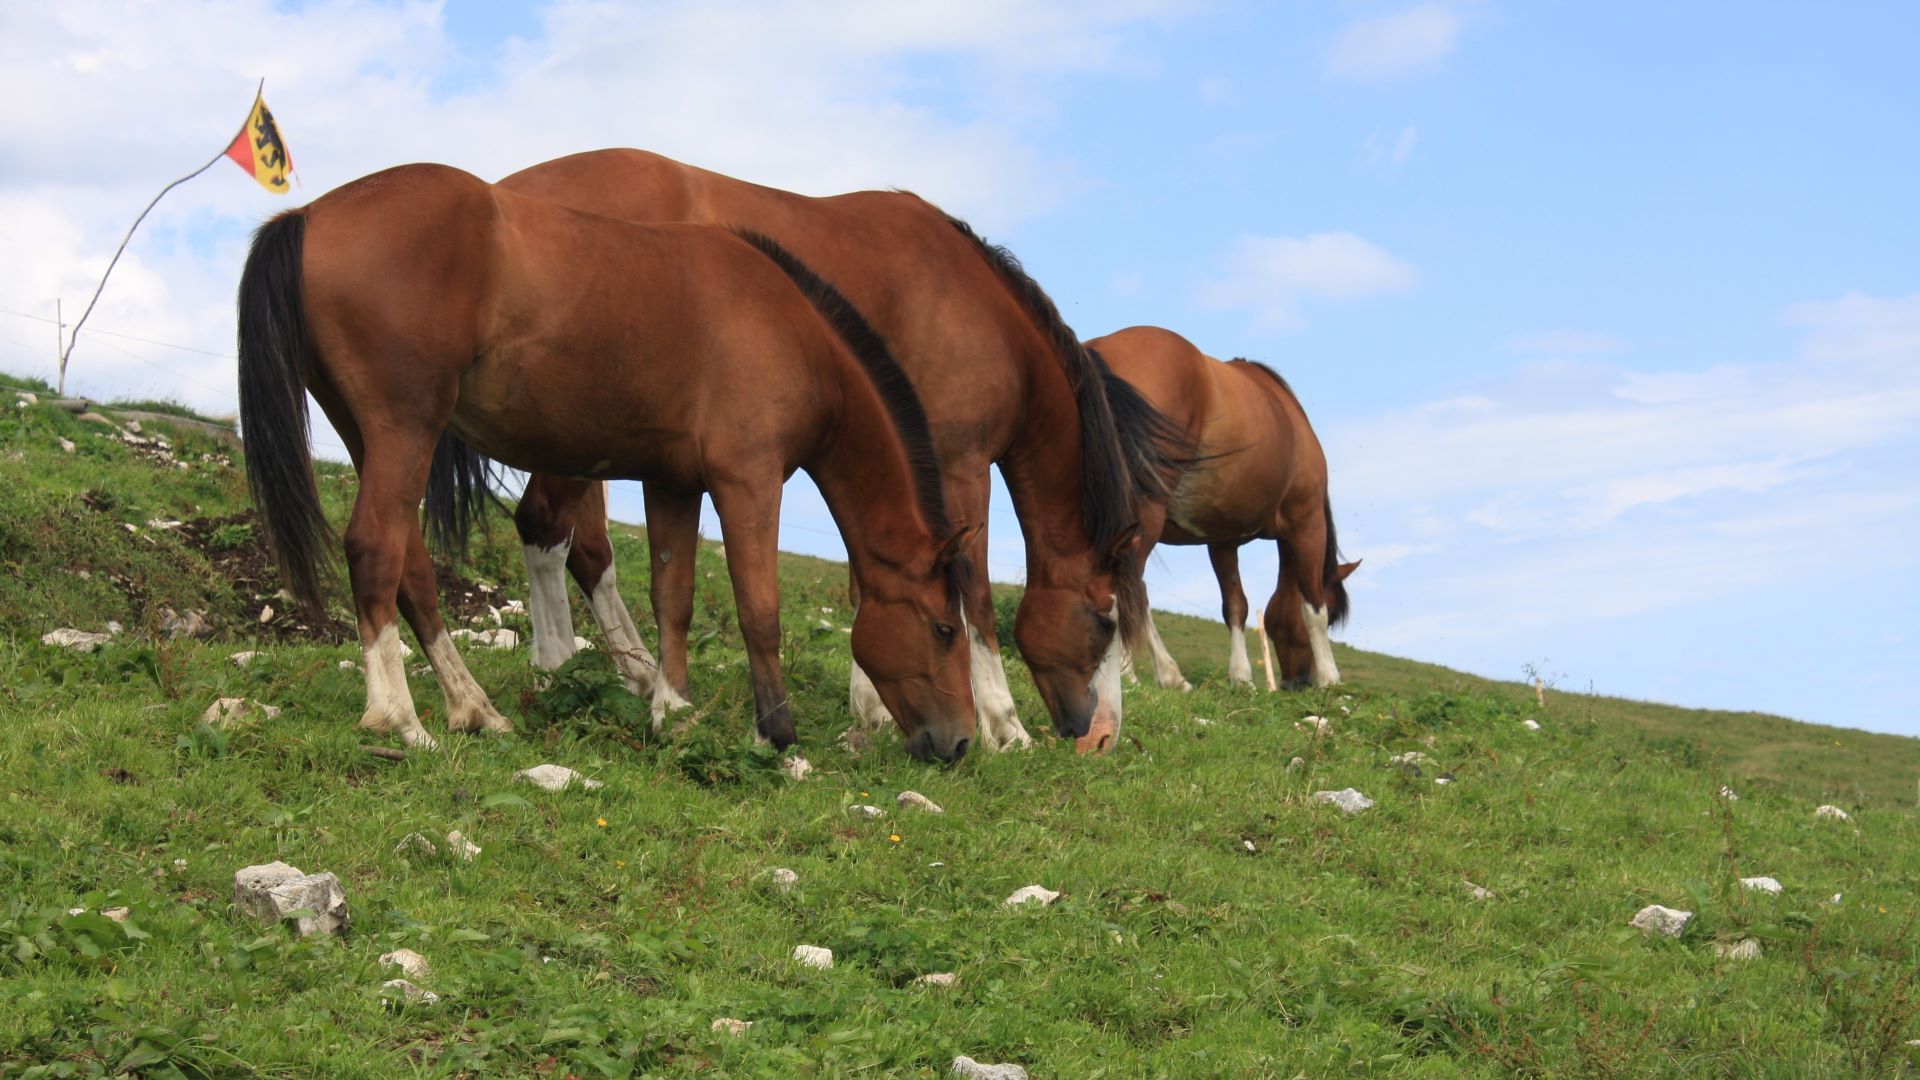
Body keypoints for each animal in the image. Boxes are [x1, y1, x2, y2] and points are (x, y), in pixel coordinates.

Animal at [236, 162, 980, 762]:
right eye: (945, 629)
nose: (962, 742)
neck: (796, 333)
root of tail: (310, 215)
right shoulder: (749, 480)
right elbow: (758, 608)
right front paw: (777, 734)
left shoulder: (674, 483)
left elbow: (673, 597)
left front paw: (672, 711)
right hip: (405, 428)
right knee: (376, 551)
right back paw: (399, 718)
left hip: (372, 435)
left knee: (412, 568)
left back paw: (475, 709)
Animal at [431, 148, 1191, 750]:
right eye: (1105, 618)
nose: (1102, 737)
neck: (976, 310)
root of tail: (504, 192)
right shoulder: (959, 466)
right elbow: (971, 594)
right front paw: (1004, 723)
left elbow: (872, 576)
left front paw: (873, 707)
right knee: (547, 528)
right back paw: (561, 665)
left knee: (579, 544)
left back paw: (634, 672)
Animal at [1086, 326, 1358, 705]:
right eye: (1335, 615)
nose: (1298, 682)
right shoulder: (1307, 523)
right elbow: (1311, 603)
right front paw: (1331, 679)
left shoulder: (1222, 540)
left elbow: (1235, 606)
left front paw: (1242, 678)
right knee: (1129, 588)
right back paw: (1154, 674)